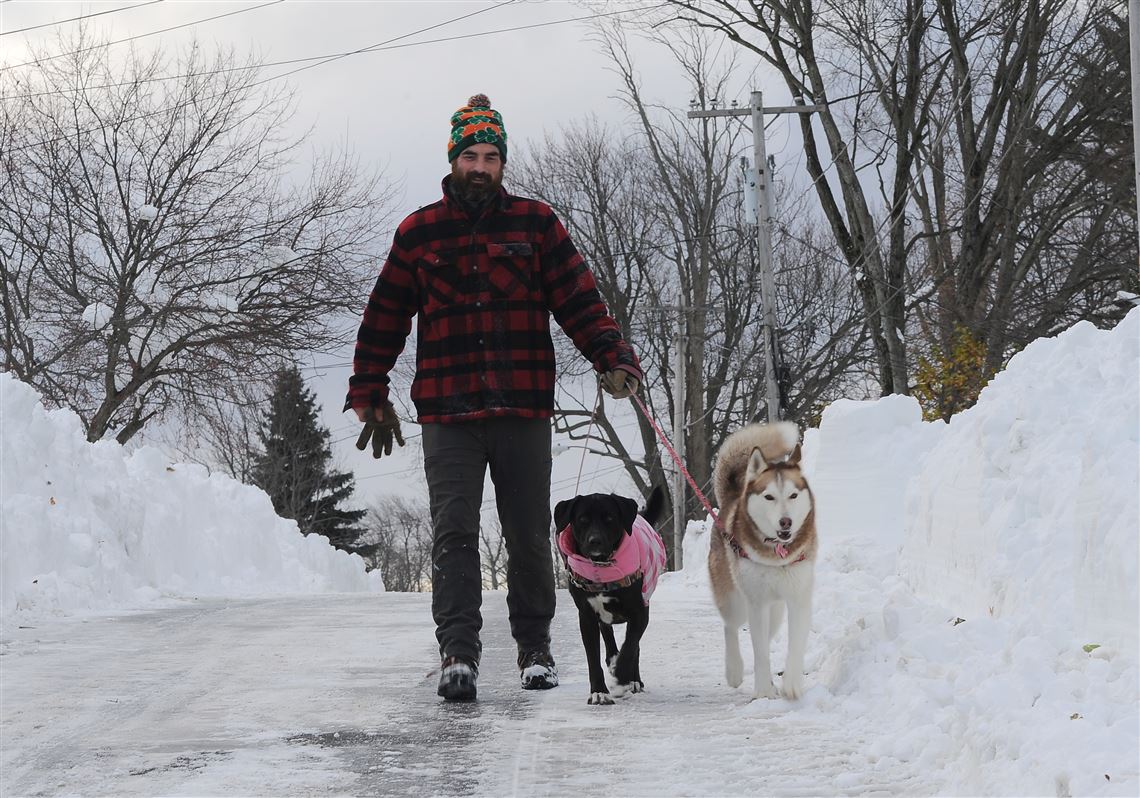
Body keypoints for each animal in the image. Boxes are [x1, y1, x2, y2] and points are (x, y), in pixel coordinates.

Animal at [554, 485, 665, 702]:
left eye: (610, 519)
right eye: (582, 519)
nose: (594, 541)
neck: (601, 568)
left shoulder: (640, 613)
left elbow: (630, 646)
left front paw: (622, 677)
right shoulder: (586, 617)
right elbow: (593, 658)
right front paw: (599, 692)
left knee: (634, 646)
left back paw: (633, 680)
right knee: (609, 636)